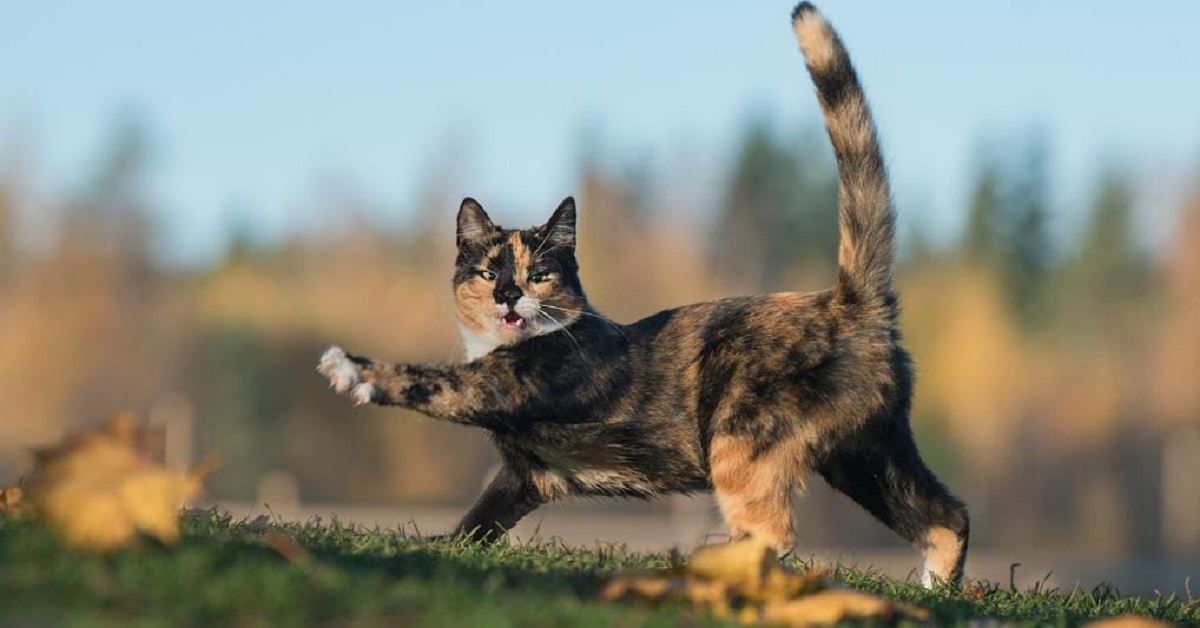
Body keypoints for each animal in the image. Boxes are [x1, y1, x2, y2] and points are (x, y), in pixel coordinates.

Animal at [321, 2, 974, 588]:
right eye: (486, 272)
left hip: (744, 438)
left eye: (539, 274)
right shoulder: (523, 476)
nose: (508, 295)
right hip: (868, 453)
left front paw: (352, 369)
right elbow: (478, 522)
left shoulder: (504, 388)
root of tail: (852, 302)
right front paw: (445, 545)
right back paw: (936, 590)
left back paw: (708, 567)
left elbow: (429, 382)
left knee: (775, 533)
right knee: (948, 515)